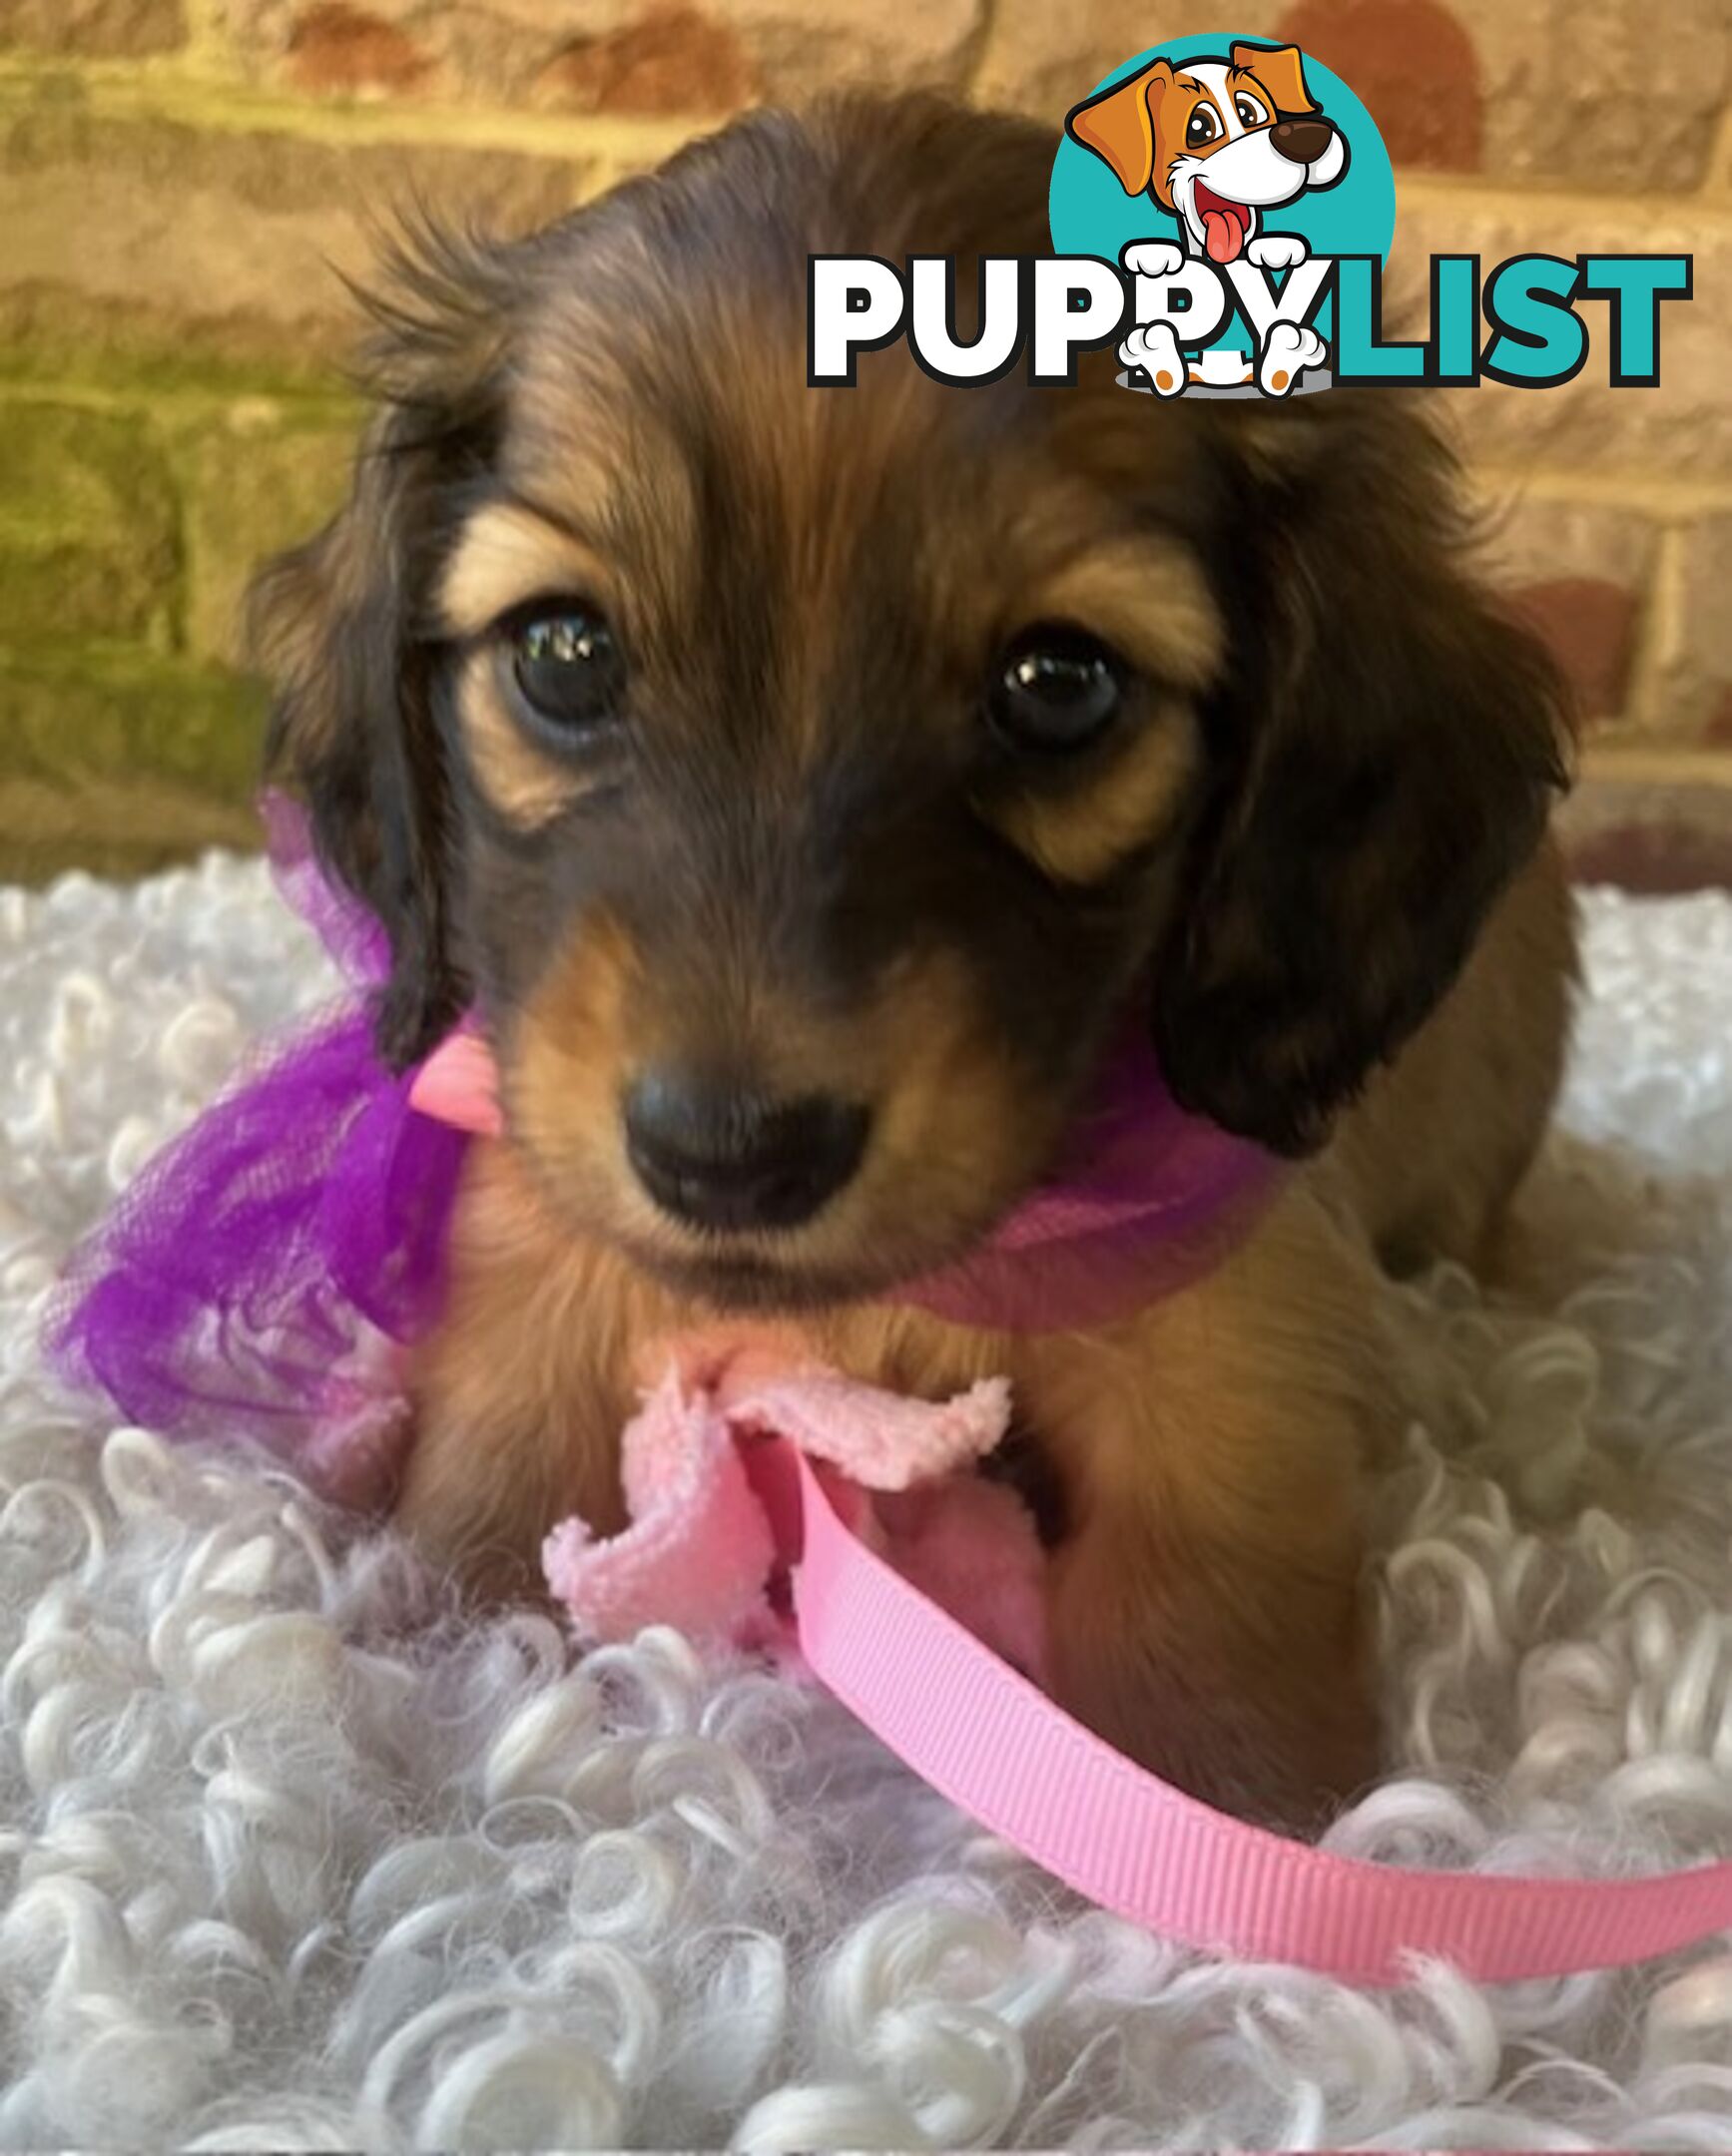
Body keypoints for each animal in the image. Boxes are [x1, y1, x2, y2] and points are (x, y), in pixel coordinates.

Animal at [250, 92, 1578, 1828]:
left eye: (1060, 685)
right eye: (561, 651)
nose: (728, 1158)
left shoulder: (1239, 1355)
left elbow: (1203, 1664)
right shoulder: (541, 1258)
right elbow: (490, 1497)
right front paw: (442, 1698)